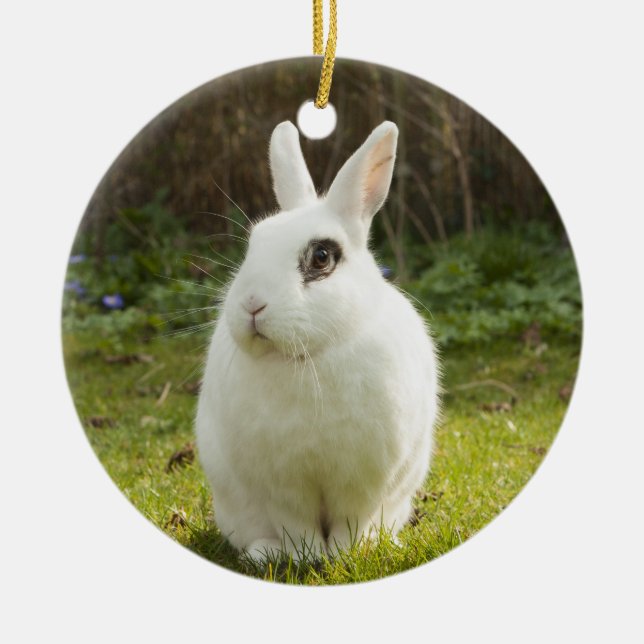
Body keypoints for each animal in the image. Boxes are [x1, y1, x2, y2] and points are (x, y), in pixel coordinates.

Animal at [195, 120, 440, 563]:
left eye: (321, 257)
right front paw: (306, 557)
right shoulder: (282, 485)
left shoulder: (362, 482)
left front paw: (344, 555)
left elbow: (350, 521)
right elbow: (296, 524)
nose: (252, 304)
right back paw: (263, 553)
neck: (308, 357)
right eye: (253, 244)